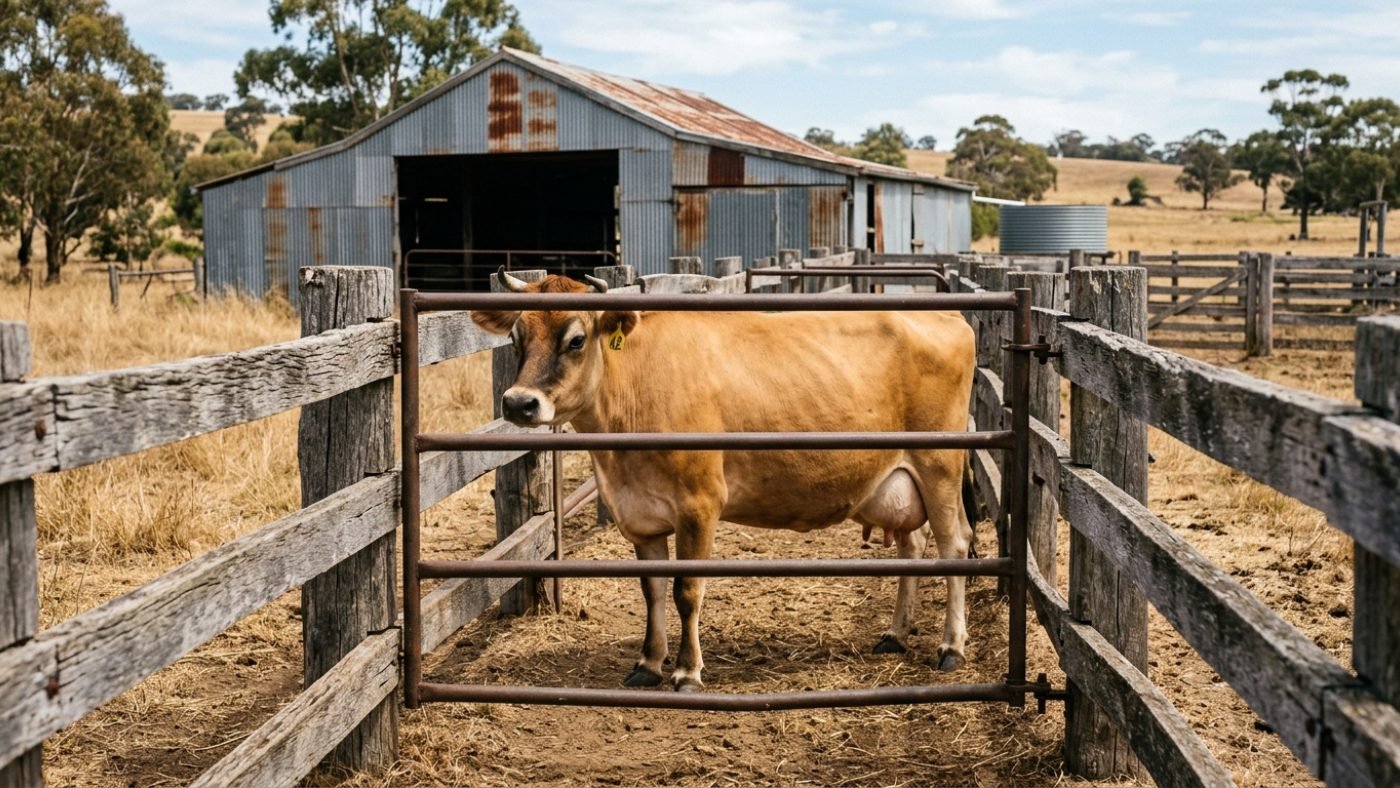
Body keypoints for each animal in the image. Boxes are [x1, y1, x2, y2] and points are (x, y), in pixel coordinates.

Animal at [471, 270, 977, 692]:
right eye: (516, 337)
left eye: (576, 339)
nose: (518, 403)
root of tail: (947, 315)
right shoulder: (640, 514)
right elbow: (652, 591)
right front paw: (648, 664)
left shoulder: (699, 504)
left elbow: (687, 591)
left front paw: (687, 672)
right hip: (898, 482)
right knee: (913, 546)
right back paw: (895, 633)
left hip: (939, 466)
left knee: (954, 545)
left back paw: (951, 646)